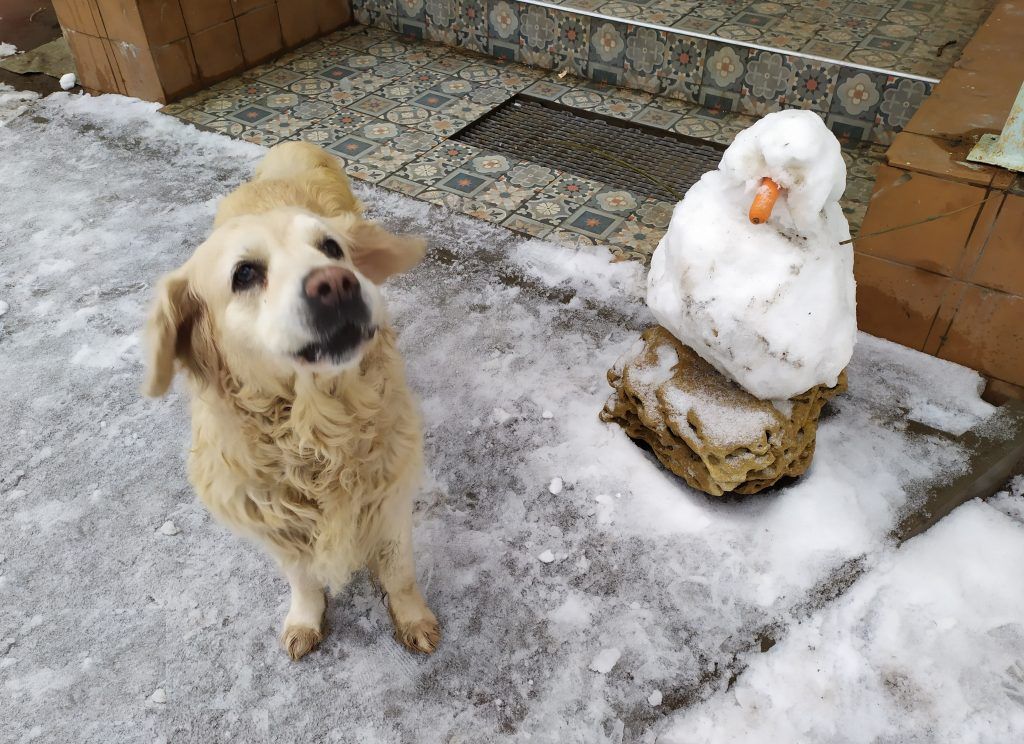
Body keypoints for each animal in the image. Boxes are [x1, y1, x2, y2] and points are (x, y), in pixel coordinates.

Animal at [142, 142, 438, 659]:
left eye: (332, 248)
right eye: (244, 273)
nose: (337, 283)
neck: (315, 431)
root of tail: (289, 148)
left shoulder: (389, 498)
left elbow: (399, 570)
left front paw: (413, 618)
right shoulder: (275, 522)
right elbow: (302, 578)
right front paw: (305, 619)